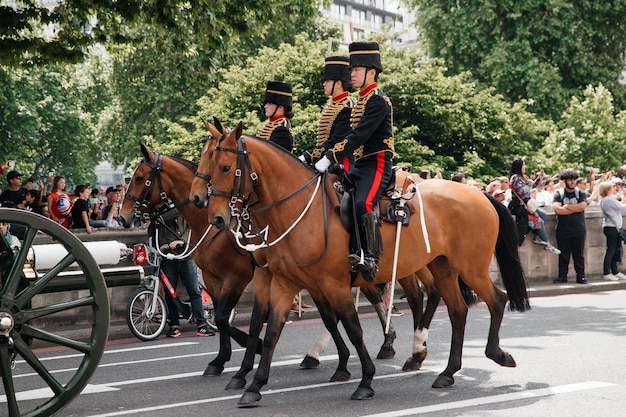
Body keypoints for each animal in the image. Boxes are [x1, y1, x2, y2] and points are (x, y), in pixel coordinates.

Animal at [197, 121, 528, 406]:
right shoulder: (282, 281)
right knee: (457, 310)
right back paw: (445, 371)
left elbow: (352, 328)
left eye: (225, 167)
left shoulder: (332, 283)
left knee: (496, 300)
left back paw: (494, 353)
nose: (215, 217)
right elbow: (269, 331)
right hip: (442, 266)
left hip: (470, 268)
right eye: (205, 166)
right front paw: (252, 383)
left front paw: (365, 379)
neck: (296, 210)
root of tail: (478, 194)